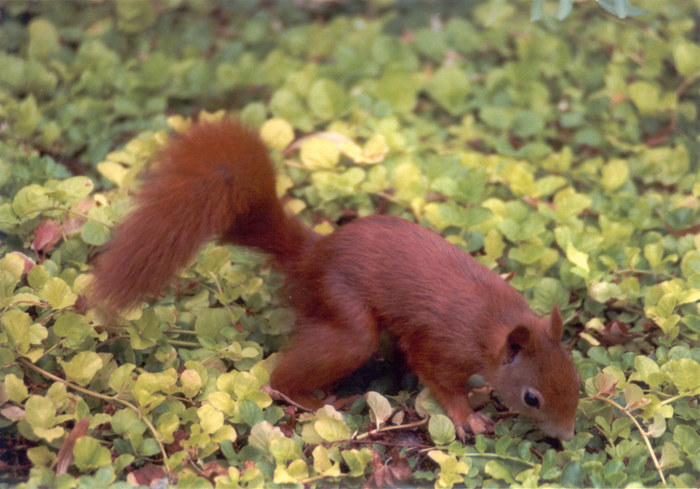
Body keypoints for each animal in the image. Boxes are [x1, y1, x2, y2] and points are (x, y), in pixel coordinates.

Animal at [91, 117, 580, 438]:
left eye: (575, 377)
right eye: (532, 398)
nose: (568, 436)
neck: (494, 322)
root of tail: (312, 255)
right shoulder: (442, 346)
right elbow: (439, 378)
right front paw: (466, 417)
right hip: (343, 316)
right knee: (283, 376)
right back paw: (313, 401)